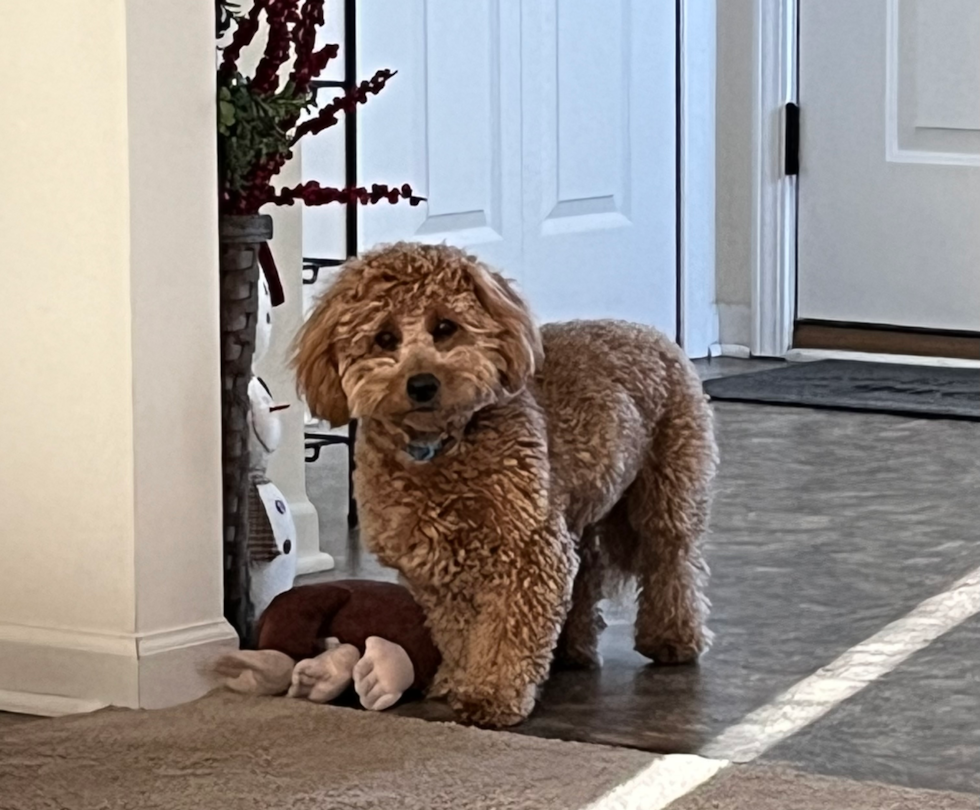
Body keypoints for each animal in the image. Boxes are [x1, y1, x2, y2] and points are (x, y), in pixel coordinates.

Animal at [294, 240, 716, 724]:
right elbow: (460, 632)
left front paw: (491, 694)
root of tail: (652, 333)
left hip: (665, 490)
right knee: (588, 571)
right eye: (384, 338)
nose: (422, 384)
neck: (443, 447)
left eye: (445, 327)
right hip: (578, 505)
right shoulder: (436, 569)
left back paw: (671, 638)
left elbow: (505, 632)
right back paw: (571, 649)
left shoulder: (527, 549)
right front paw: (460, 679)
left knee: (671, 561)